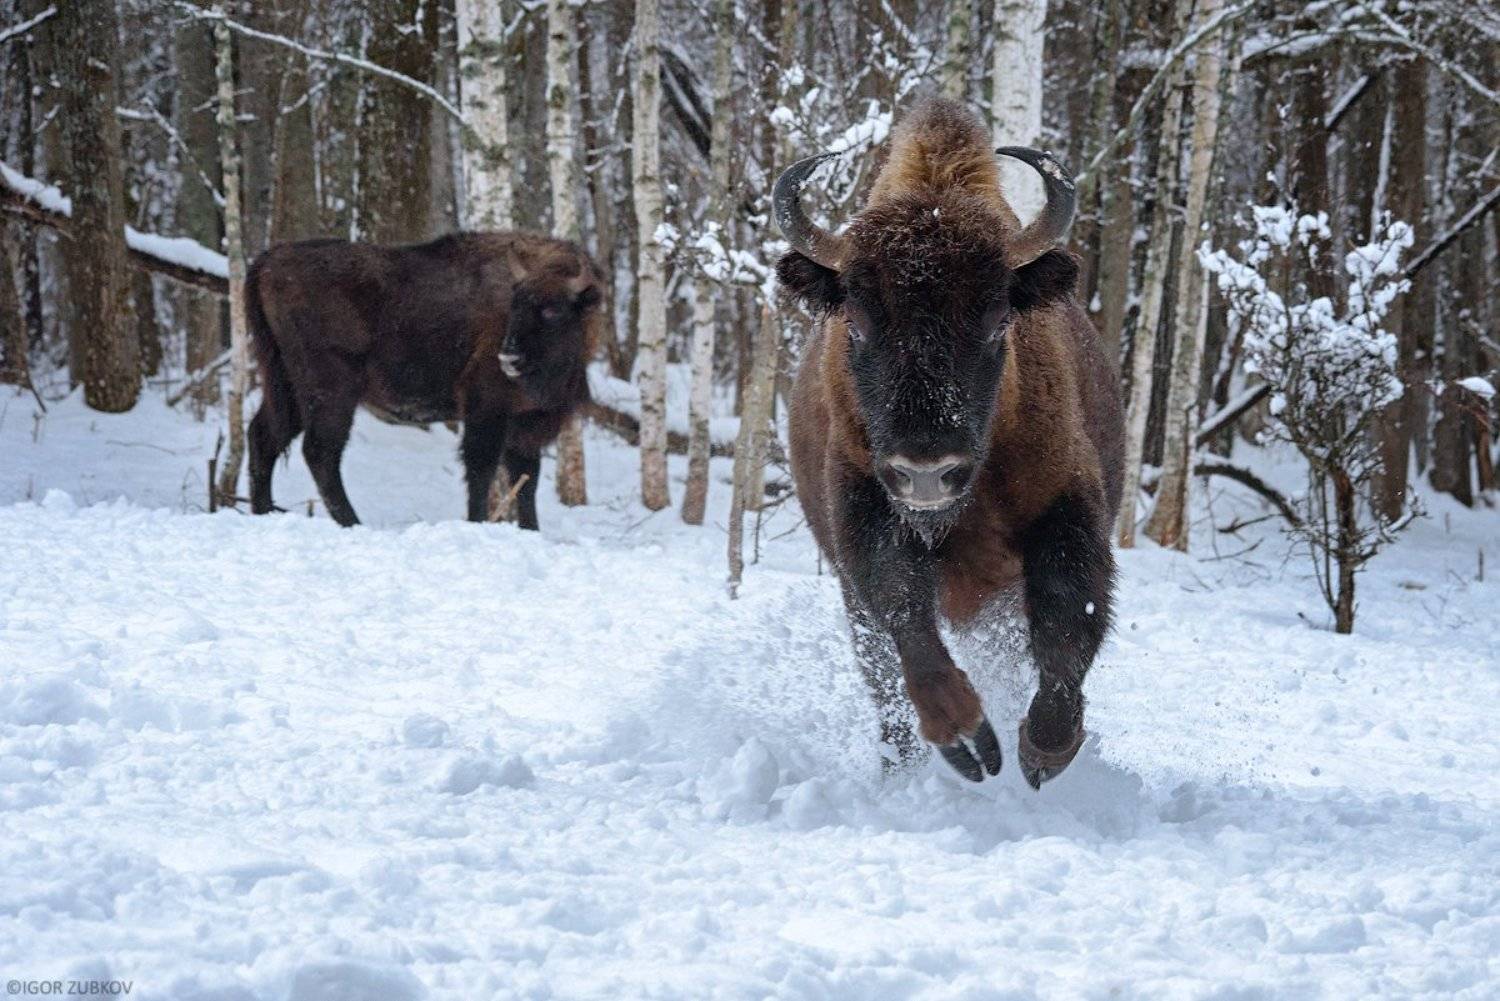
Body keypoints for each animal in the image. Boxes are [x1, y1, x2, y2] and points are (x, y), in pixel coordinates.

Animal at [246, 233, 603, 530]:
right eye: (515, 304)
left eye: (552, 310)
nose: (509, 358)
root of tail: (268, 259)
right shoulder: (486, 409)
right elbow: (481, 469)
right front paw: (477, 522)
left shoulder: (525, 423)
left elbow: (526, 480)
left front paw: (531, 529)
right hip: (332, 392)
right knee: (320, 451)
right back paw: (353, 523)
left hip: (287, 388)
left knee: (264, 436)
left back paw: (263, 511)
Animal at [774, 98, 1124, 787]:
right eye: (856, 323)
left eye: (997, 321)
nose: (927, 472)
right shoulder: (864, 511)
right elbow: (904, 613)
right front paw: (967, 742)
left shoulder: (1065, 505)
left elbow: (1071, 615)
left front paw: (1045, 749)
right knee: (883, 675)